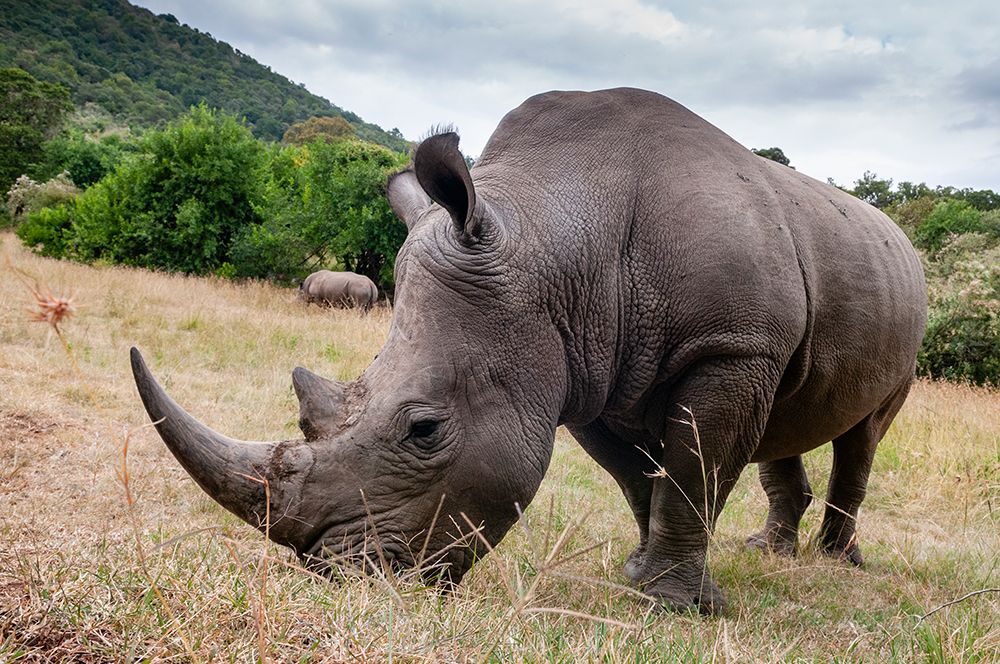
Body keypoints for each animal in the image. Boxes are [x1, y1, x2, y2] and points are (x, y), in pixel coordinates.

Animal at [131, 88, 927, 614]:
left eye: (425, 430)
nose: (340, 577)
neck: (559, 234)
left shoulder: (727, 348)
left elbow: (692, 475)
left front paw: (675, 608)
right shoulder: (592, 369)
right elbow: (641, 480)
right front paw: (638, 571)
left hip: (890, 309)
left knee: (864, 433)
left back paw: (836, 564)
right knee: (783, 422)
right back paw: (772, 554)